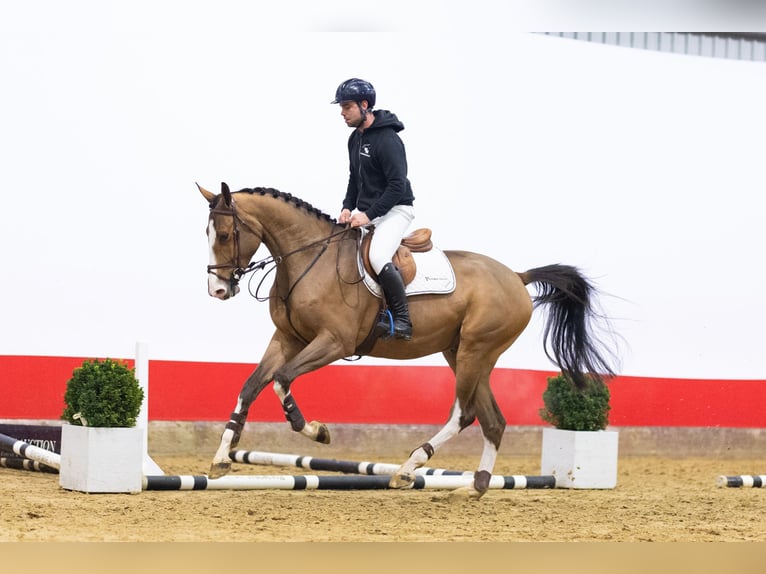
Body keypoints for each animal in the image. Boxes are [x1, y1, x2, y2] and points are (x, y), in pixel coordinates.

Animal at [198, 182, 617, 498]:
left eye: (225, 234)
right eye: (208, 234)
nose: (218, 290)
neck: (308, 260)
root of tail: (517, 276)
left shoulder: (334, 342)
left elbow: (283, 380)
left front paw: (317, 430)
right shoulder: (287, 338)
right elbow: (251, 386)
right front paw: (221, 459)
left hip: (476, 351)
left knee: (465, 413)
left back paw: (409, 467)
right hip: (461, 353)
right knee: (492, 420)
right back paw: (474, 487)